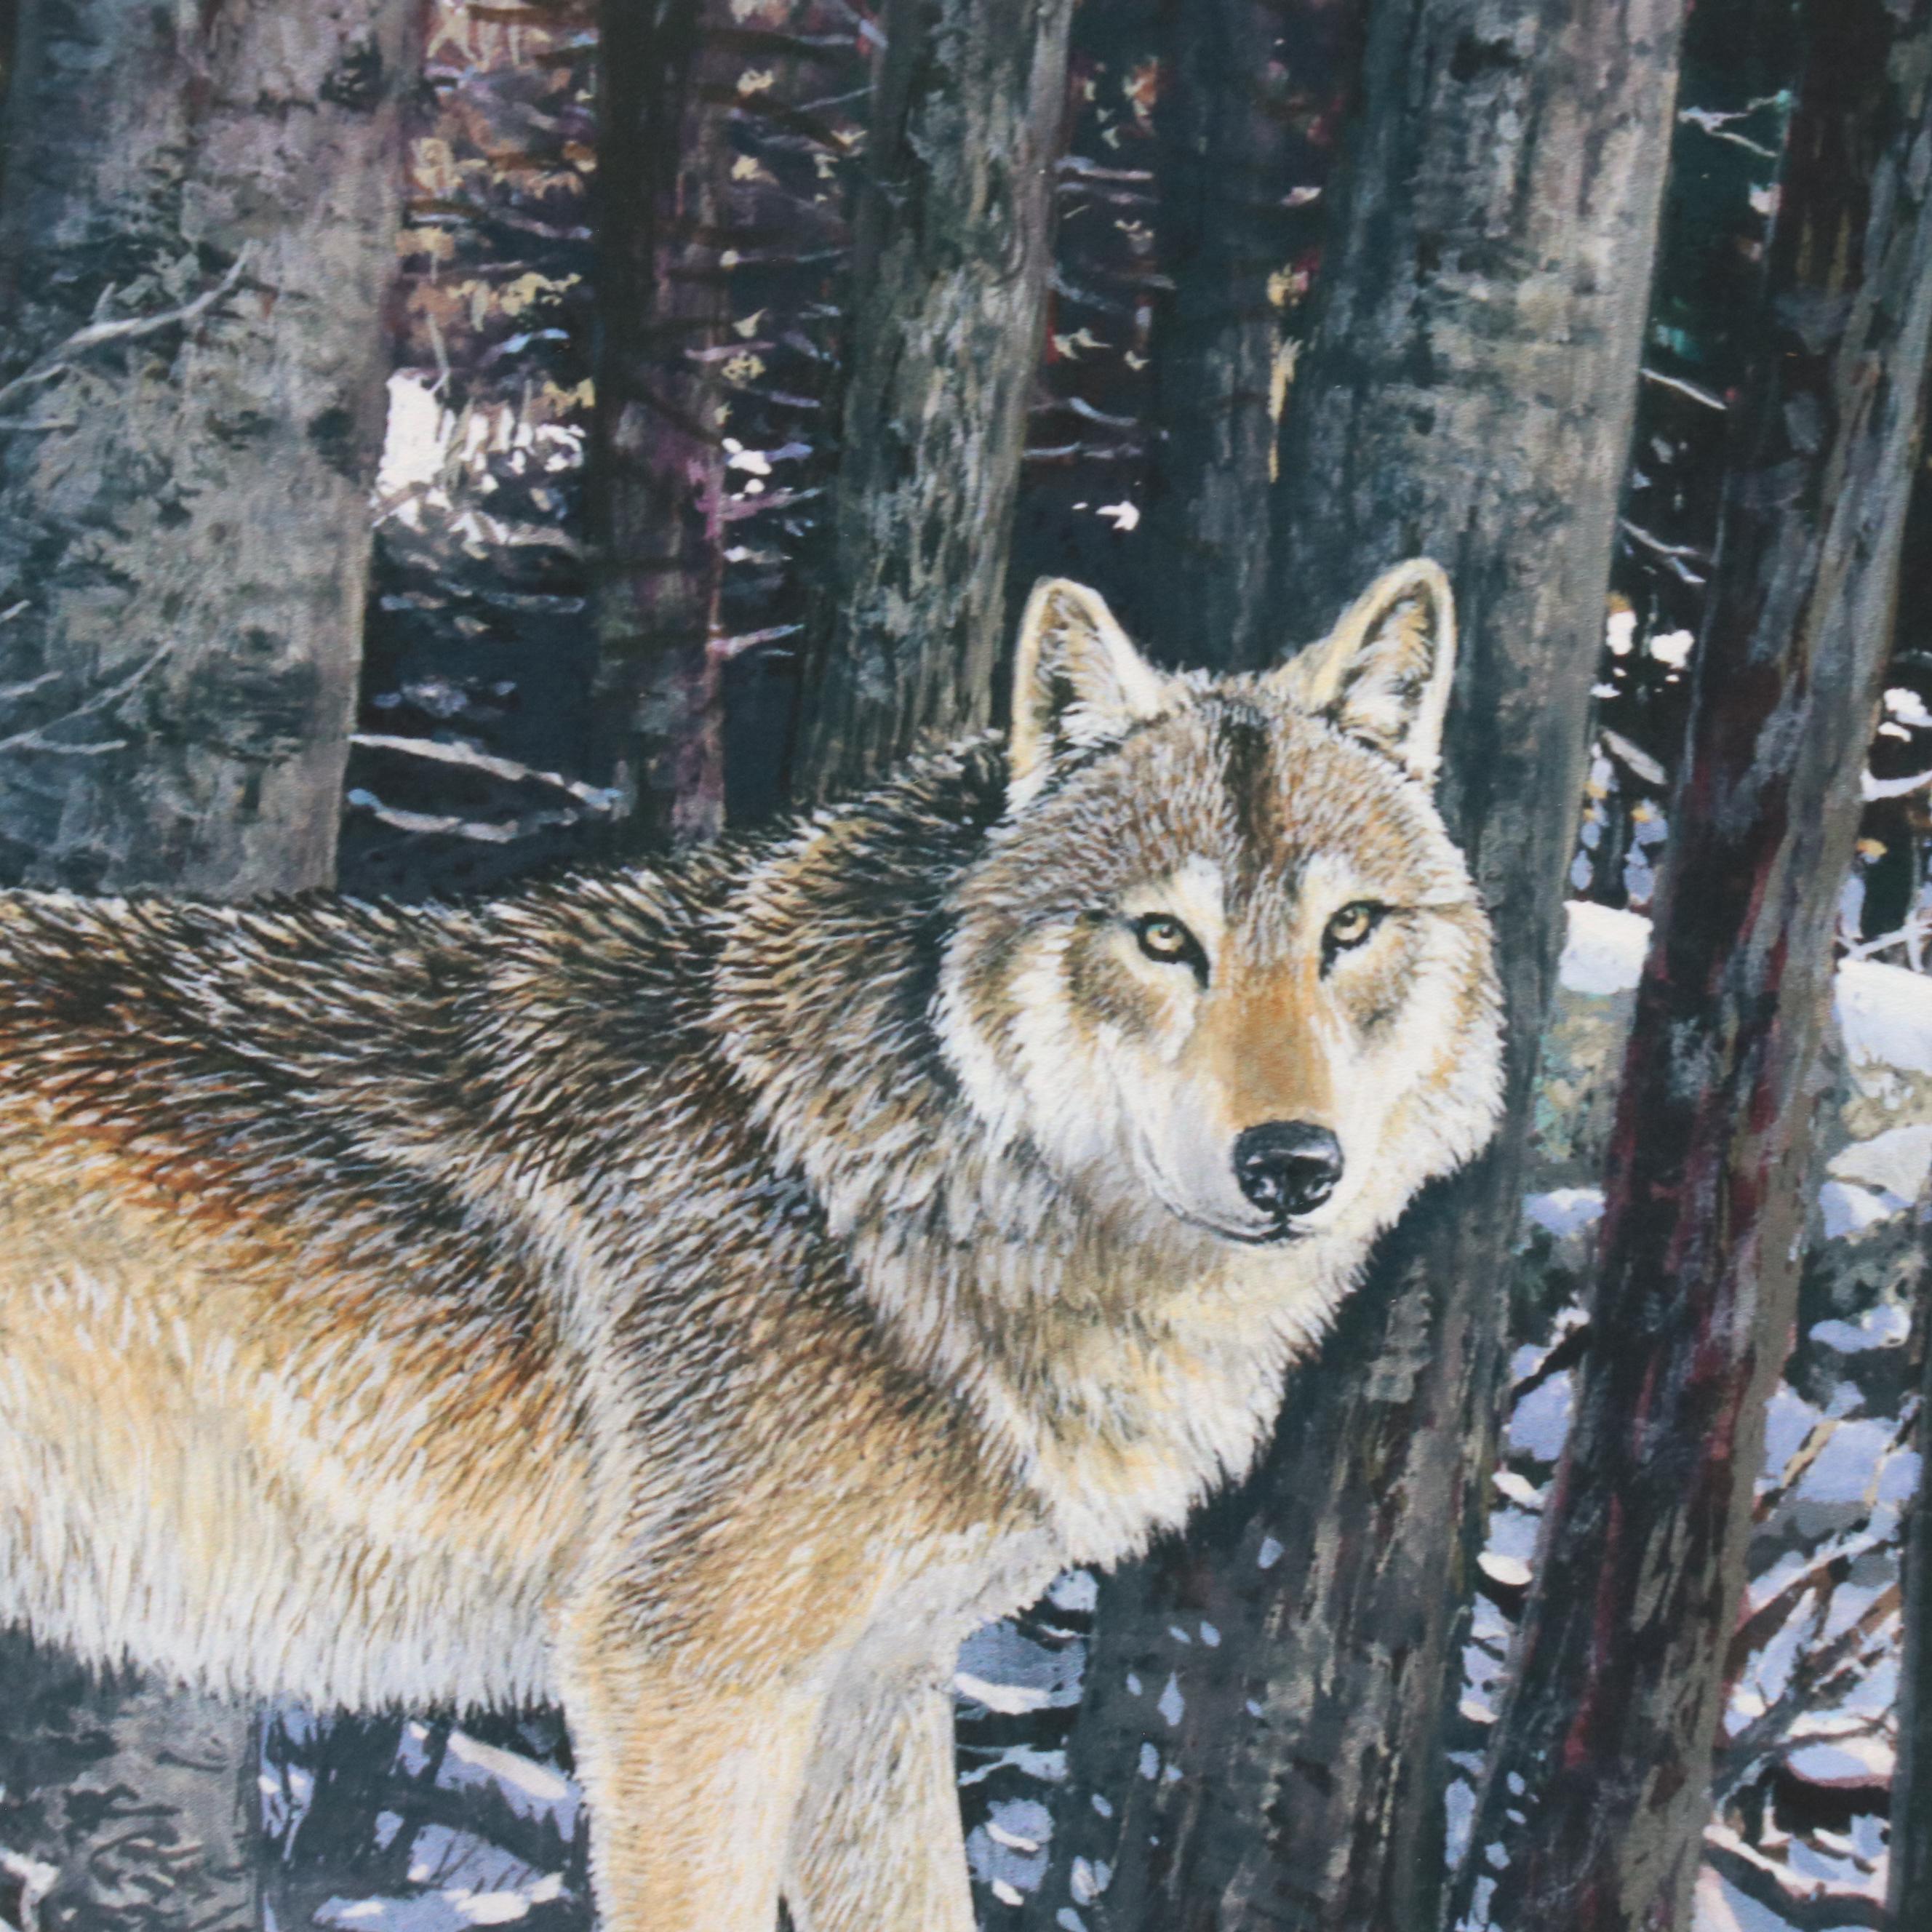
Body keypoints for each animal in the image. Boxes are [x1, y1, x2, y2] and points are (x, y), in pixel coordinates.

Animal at [0, 558, 1501, 1931]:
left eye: (1349, 928)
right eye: (1162, 938)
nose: (1293, 1164)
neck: (870, 1185)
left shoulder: (878, 1687)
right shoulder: (680, 1679)